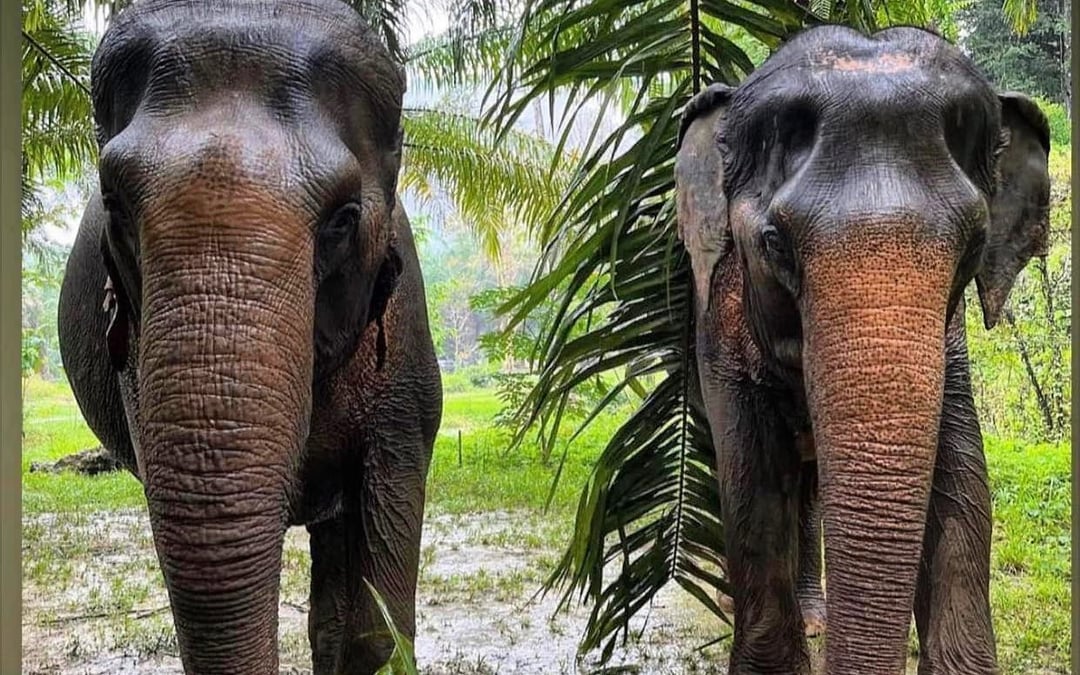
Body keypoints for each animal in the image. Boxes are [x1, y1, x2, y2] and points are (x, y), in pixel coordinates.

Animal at [675, 24, 1050, 675]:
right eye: (775, 244)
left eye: (974, 247)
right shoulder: (718, 317)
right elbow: (750, 479)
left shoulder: (949, 343)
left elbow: (964, 477)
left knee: (810, 486)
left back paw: (815, 616)